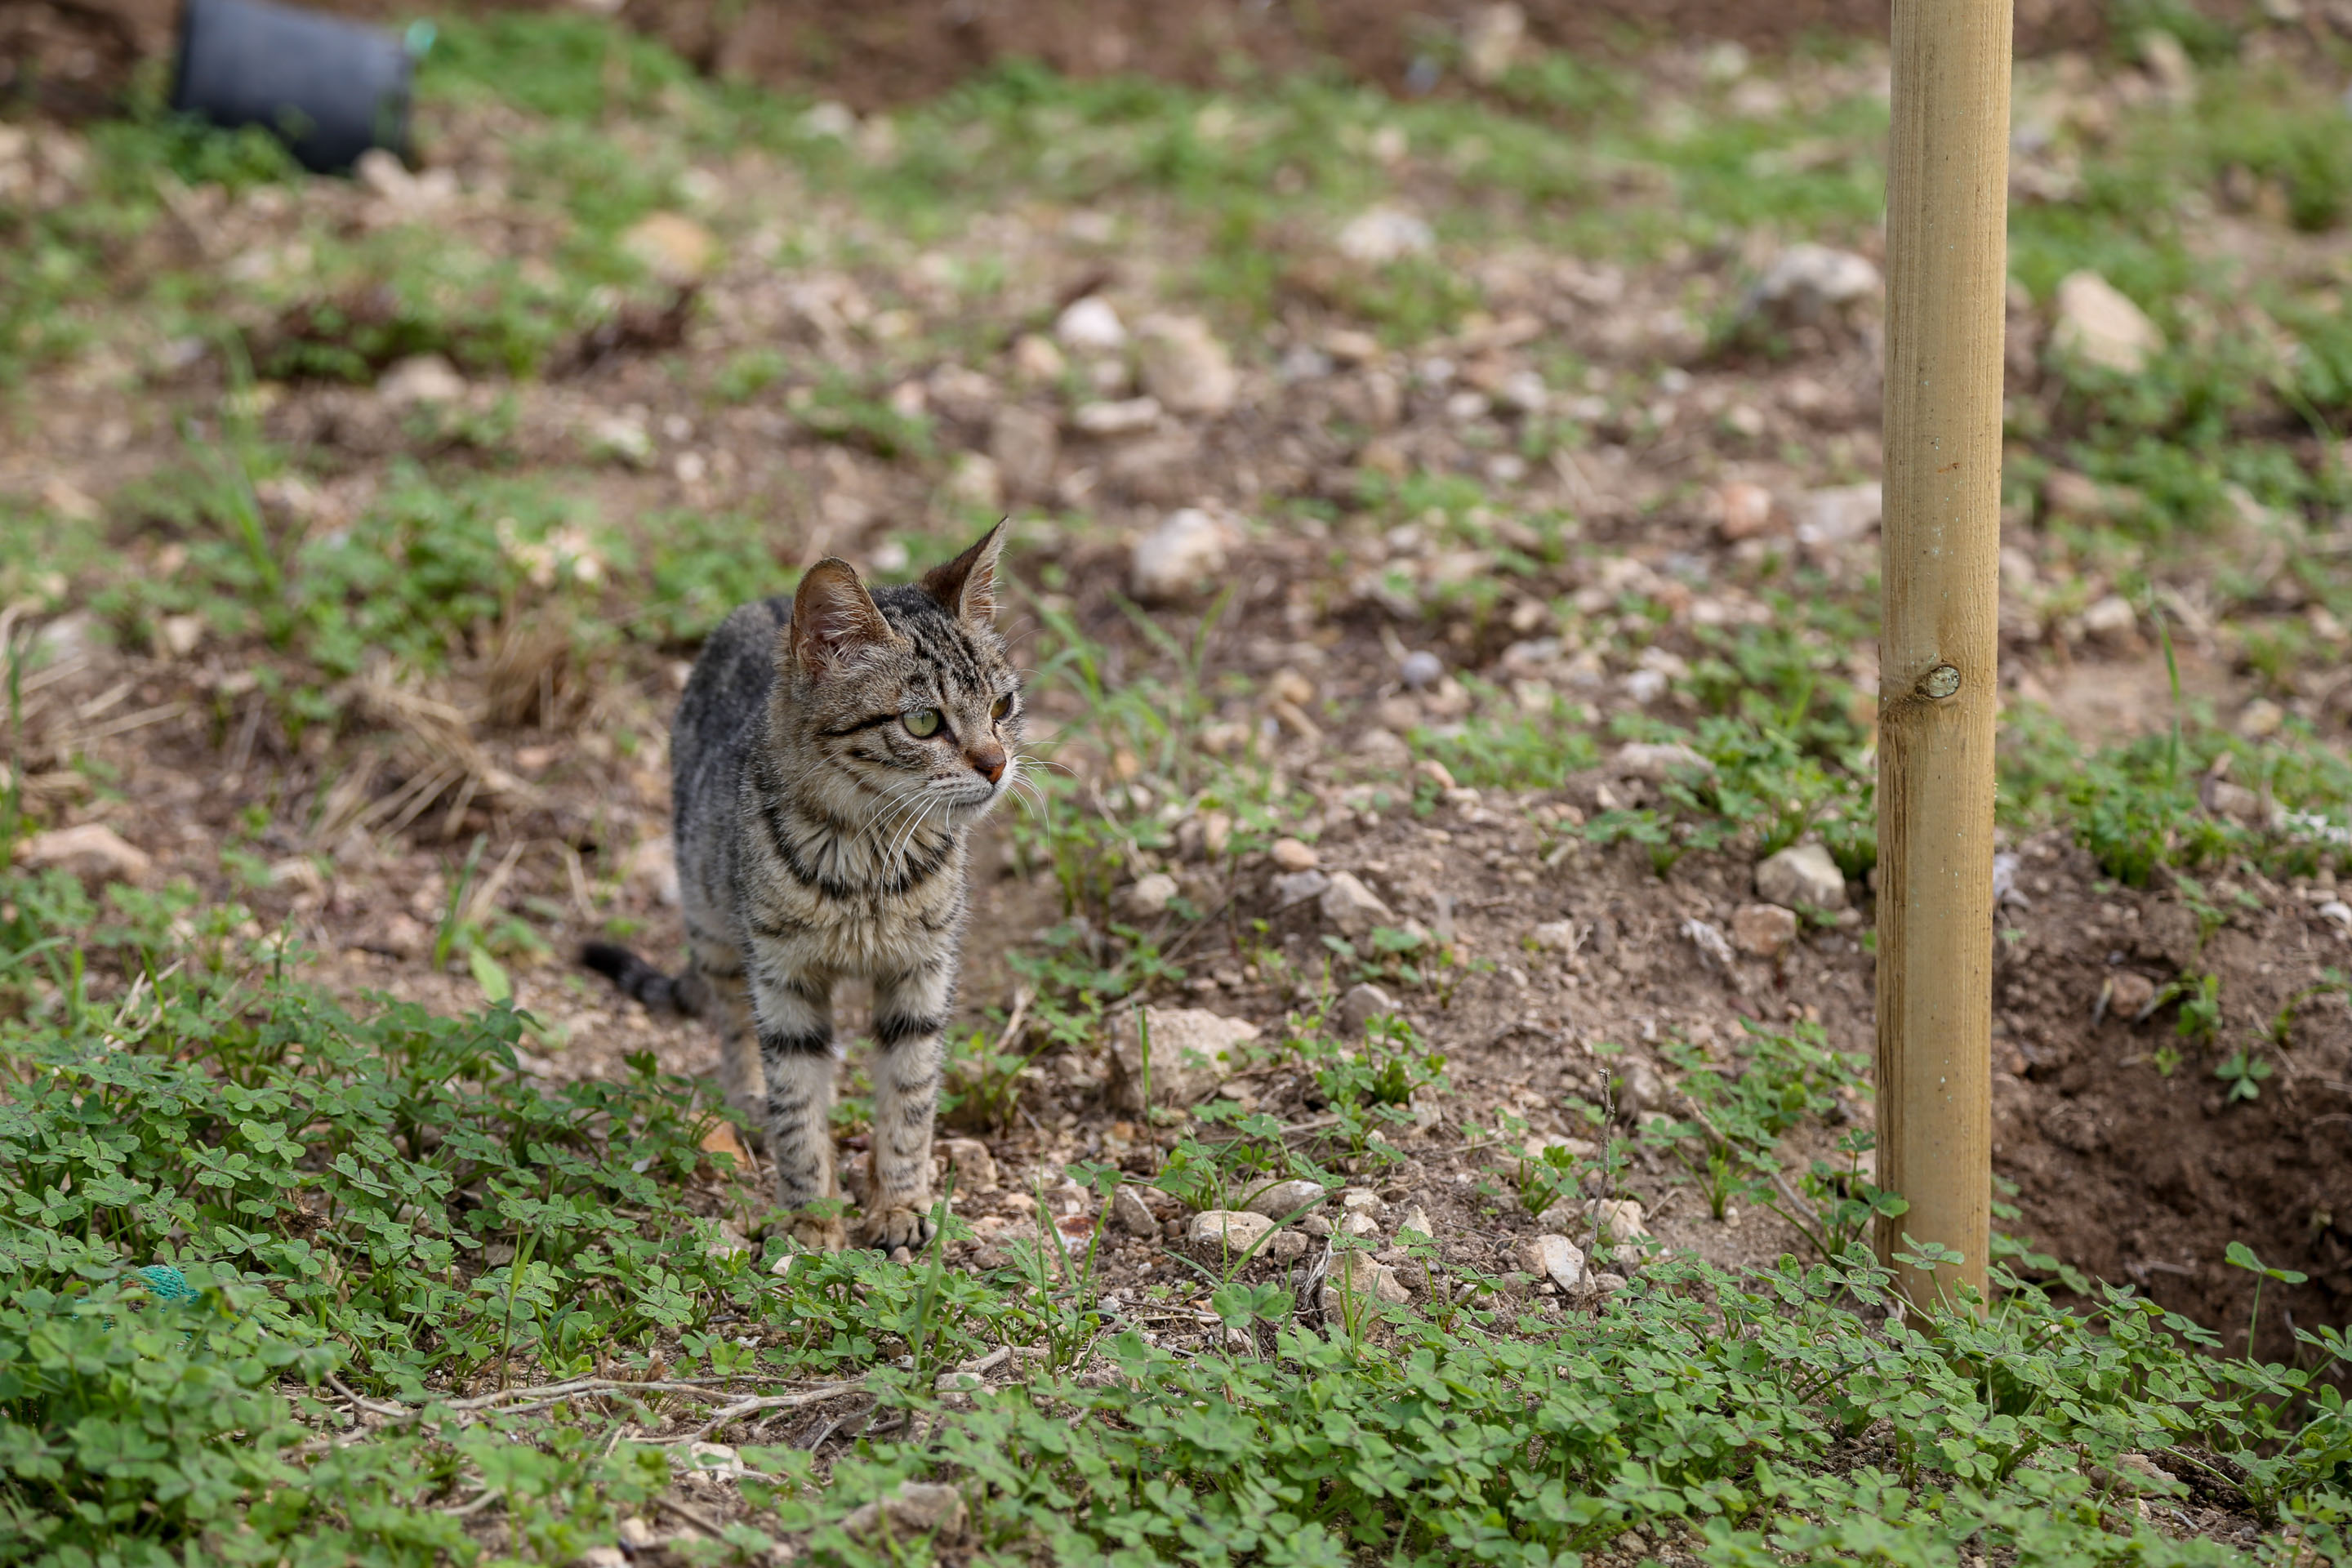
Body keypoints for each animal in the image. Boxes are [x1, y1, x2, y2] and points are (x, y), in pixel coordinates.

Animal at [581, 522, 1020, 1259]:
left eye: (1001, 706)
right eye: (924, 722)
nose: (996, 763)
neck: (869, 864)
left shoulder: (923, 973)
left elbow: (910, 1096)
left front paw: (899, 1203)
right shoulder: (782, 978)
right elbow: (798, 1106)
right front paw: (812, 1216)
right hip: (713, 923)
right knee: (733, 1024)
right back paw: (747, 1104)